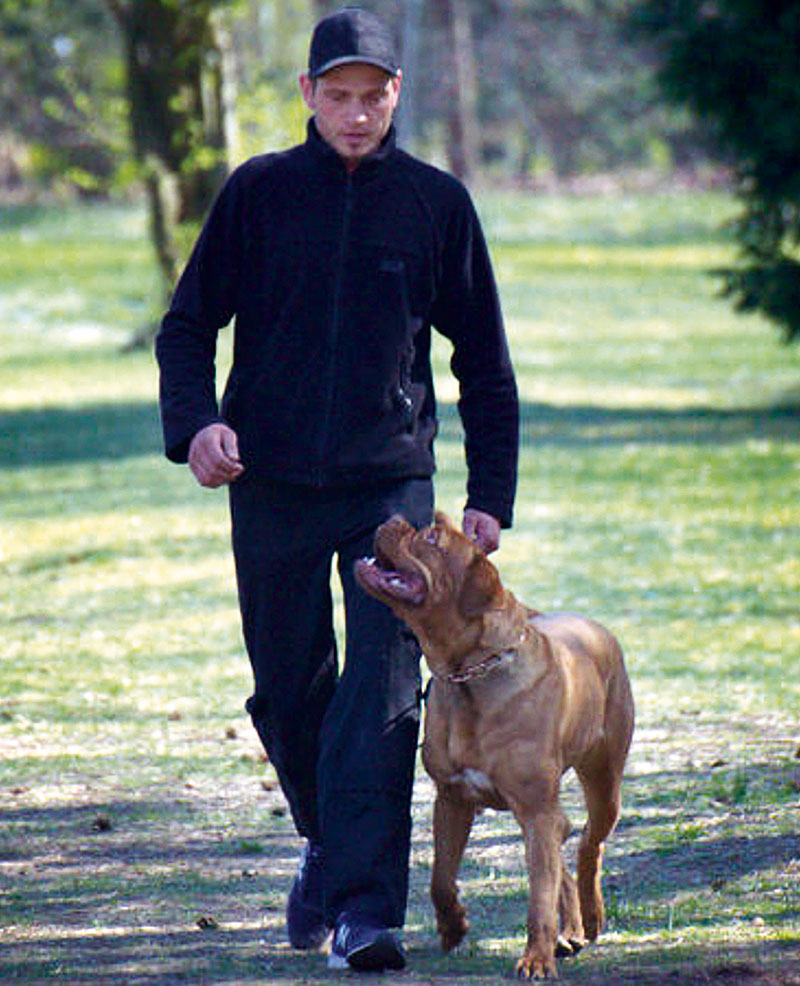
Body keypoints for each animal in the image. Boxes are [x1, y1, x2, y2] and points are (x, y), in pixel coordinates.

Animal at [358, 512, 636, 972]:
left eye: (431, 537)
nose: (393, 518)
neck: (469, 674)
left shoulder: (535, 808)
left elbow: (539, 898)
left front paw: (536, 960)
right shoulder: (452, 798)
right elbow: (441, 878)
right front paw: (454, 927)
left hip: (603, 778)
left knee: (588, 846)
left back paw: (590, 917)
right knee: (564, 851)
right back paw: (570, 930)